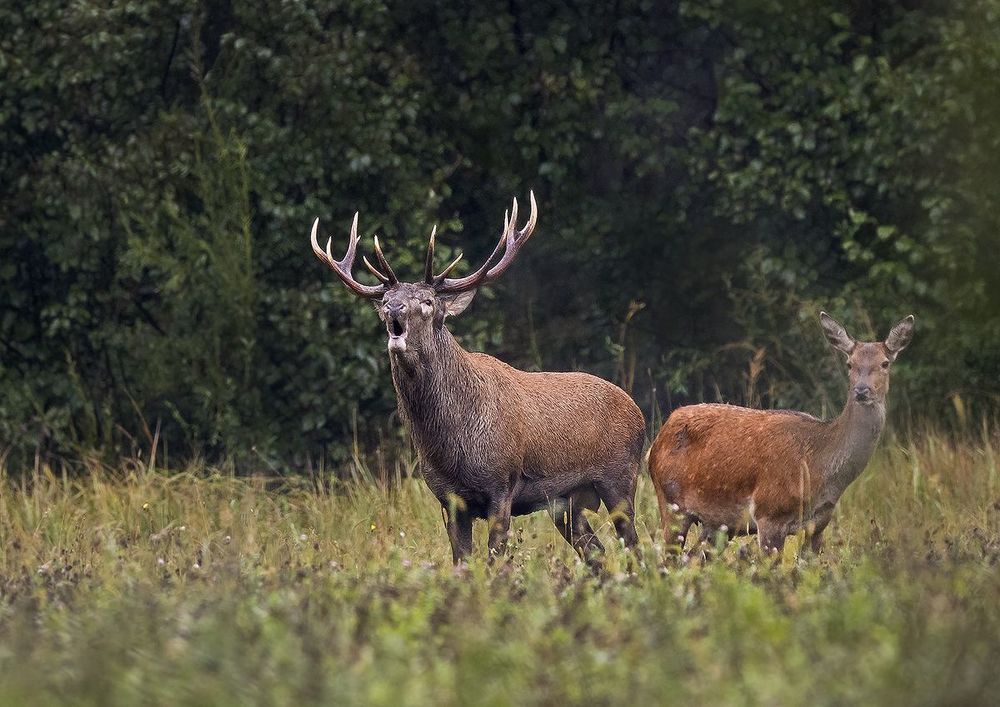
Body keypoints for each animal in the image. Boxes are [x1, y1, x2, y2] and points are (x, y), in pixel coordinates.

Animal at [310, 193, 645, 565]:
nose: (394, 309)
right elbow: (462, 564)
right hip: (566, 502)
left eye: (428, 301)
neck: (450, 442)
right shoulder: (447, 498)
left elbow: (497, 561)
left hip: (620, 478)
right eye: (385, 299)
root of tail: (638, 412)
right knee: (596, 551)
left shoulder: (502, 484)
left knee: (635, 546)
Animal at [647, 312, 914, 556]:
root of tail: (657, 440)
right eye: (850, 363)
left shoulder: (819, 524)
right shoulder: (769, 512)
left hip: (716, 525)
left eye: (885, 363)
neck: (819, 469)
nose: (861, 390)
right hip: (670, 502)